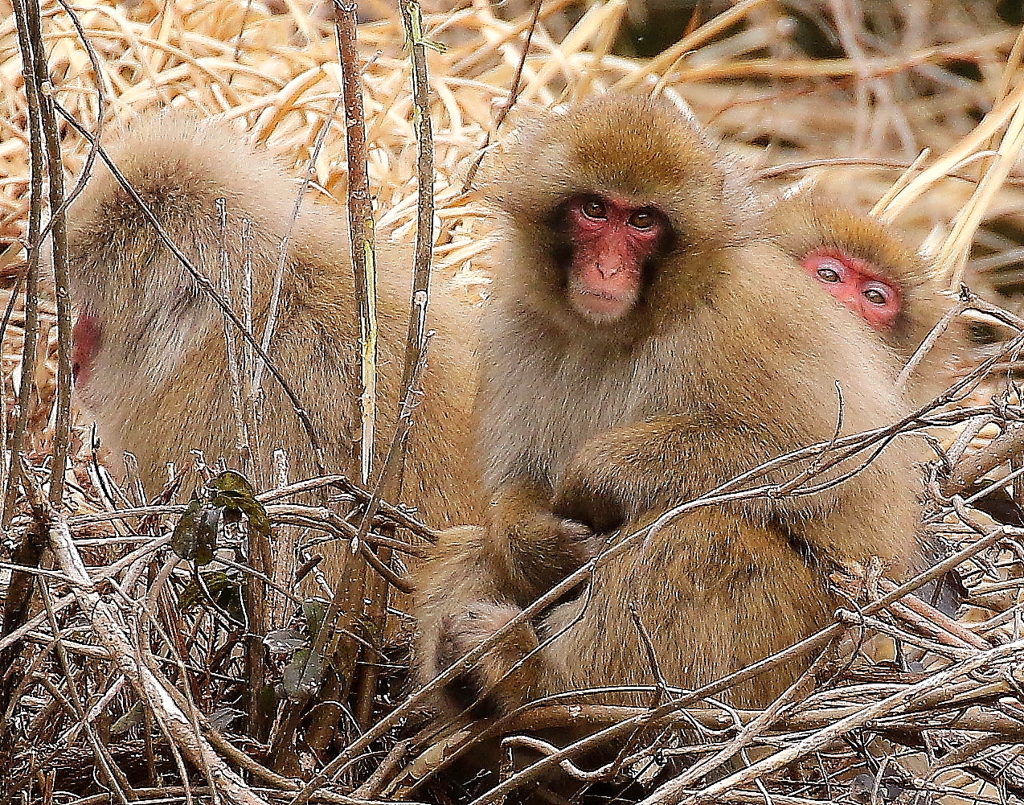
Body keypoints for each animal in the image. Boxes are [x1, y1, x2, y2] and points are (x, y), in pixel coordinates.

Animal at [413, 91, 937, 716]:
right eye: (595, 210)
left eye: (643, 221)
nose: (607, 268)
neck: (624, 327)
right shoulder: (516, 323)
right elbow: (514, 487)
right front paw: (532, 540)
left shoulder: (749, 309)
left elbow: (831, 465)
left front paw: (596, 473)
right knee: (474, 549)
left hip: (788, 657)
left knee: (697, 530)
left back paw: (543, 683)